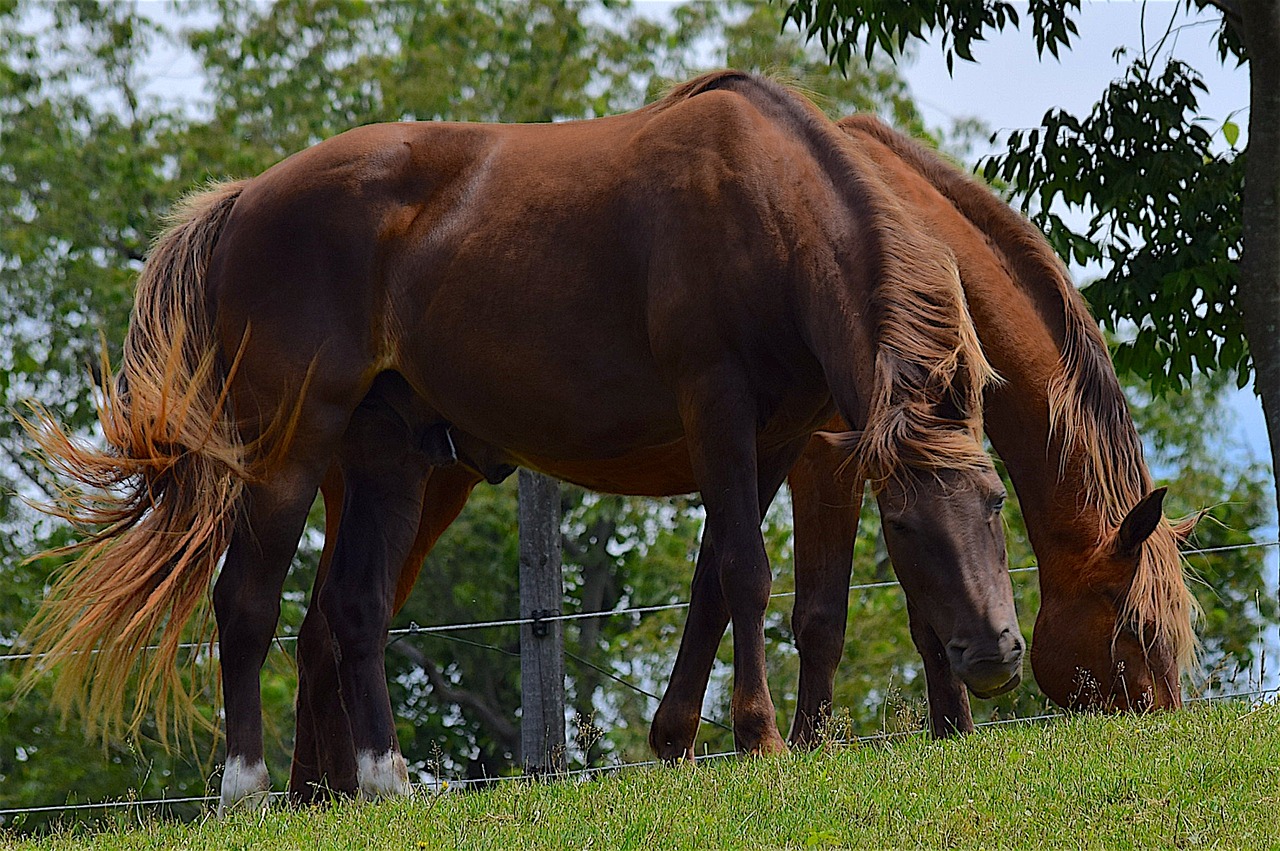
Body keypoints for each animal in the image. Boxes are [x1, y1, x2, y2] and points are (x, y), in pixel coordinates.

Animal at [22, 72, 1018, 808]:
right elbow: (745, 571)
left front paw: (677, 740)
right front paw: (760, 737)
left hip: (389, 460)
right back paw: (247, 792)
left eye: (995, 504)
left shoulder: (770, 439)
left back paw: (386, 784)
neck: (767, 206)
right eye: (903, 524)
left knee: (353, 610)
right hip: (287, 450)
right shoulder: (719, 412)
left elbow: (709, 581)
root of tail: (241, 201)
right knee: (247, 605)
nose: (997, 654)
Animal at [293, 111, 1198, 798]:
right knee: (325, 623)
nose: (1164, 715)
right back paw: (326, 790)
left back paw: (321, 791)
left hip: (419, 481)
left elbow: (739, 584)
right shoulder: (829, 458)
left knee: (323, 625)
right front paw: (817, 736)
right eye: (1131, 623)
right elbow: (823, 610)